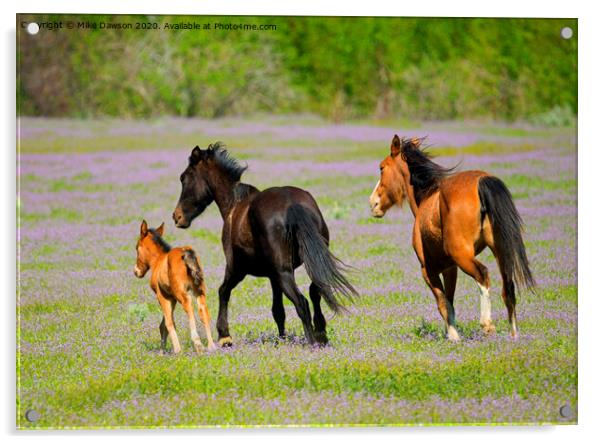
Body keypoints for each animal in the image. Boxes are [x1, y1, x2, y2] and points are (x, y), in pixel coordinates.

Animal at [134, 219, 216, 354]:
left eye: (136, 248)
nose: (136, 271)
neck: (158, 261)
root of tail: (185, 252)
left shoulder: (162, 296)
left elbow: (168, 322)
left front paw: (176, 350)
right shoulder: (171, 298)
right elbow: (163, 324)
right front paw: (162, 352)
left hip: (181, 293)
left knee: (189, 307)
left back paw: (198, 344)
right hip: (199, 291)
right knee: (203, 311)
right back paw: (211, 346)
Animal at [171, 142, 354, 346]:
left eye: (184, 177)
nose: (177, 217)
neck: (234, 205)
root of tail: (292, 205)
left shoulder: (236, 269)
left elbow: (223, 292)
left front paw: (225, 336)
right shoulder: (273, 276)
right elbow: (278, 311)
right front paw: (282, 338)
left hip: (283, 273)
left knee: (302, 303)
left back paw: (312, 342)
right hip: (306, 264)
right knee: (316, 291)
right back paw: (321, 334)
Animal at [368, 135, 532, 340]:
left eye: (382, 168)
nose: (373, 203)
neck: (427, 198)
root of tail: (482, 181)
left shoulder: (428, 271)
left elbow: (443, 304)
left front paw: (453, 337)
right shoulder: (450, 268)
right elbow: (450, 302)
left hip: (463, 256)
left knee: (483, 275)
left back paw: (487, 324)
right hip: (500, 250)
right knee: (508, 289)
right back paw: (514, 336)